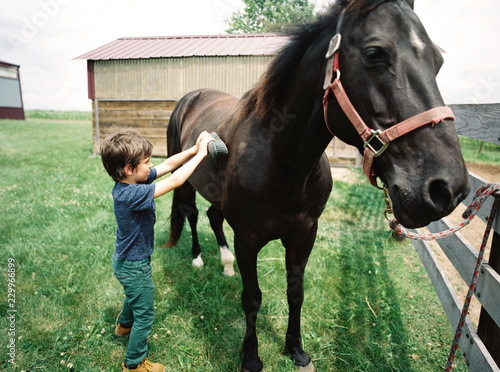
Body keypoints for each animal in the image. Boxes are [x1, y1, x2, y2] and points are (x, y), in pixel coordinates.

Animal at [166, 1, 470, 370]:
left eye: (437, 62)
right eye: (374, 54)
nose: (447, 188)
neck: (283, 163)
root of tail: (191, 97)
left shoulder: (304, 235)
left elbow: (296, 292)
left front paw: (295, 349)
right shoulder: (247, 239)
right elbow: (252, 298)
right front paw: (251, 357)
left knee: (212, 216)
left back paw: (224, 264)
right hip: (184, 180)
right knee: (192, 214)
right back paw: (198, 260)